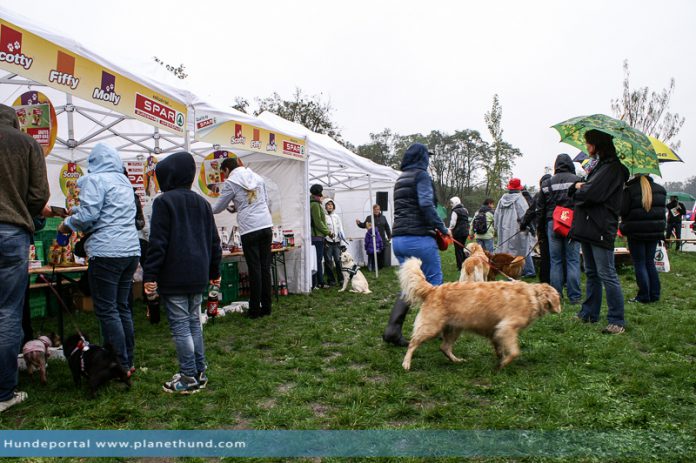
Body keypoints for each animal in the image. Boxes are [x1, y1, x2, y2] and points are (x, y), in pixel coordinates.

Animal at [396, 260, 560, 372]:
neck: (532, 295)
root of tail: (433, 289)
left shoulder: (497, 331)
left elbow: (500, 350)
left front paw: (500, 360)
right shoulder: (507, 328)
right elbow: (514, 352)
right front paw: (503, 364)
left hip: (454, 329)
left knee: (444, 347)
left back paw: (456, 360)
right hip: (431, 327)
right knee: (413, 343)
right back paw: (406, 363)